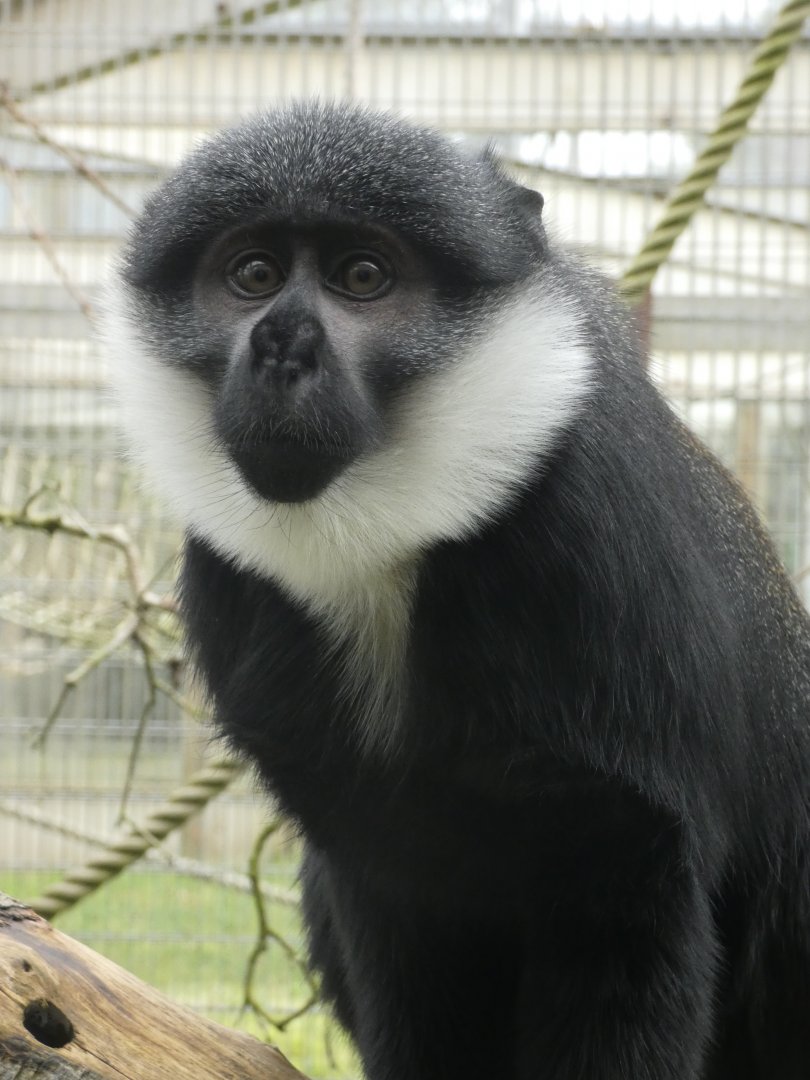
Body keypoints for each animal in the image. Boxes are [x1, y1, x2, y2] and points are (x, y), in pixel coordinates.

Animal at [107, 101, 810, 1080]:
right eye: (252, 275)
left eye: (363, 276)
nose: (284, 345)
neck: (383, 551)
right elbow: (392, 891)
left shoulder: (593, 548)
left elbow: (628, 919)